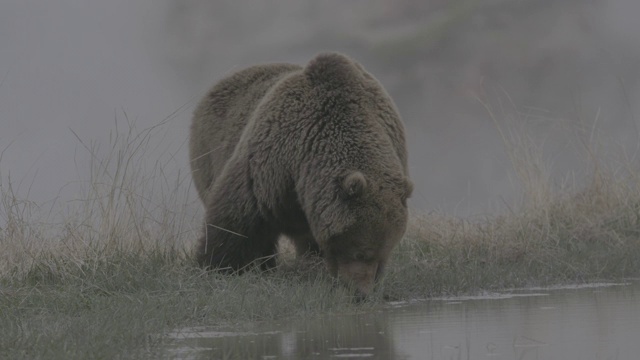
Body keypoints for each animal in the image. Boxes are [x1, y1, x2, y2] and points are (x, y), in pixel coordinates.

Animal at [188, 52, 412, 296]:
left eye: (383, 254)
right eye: (360, 251)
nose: (360, 292)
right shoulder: (271, 165)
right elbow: (236, 219)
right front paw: (219, 266)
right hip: (208, 154)